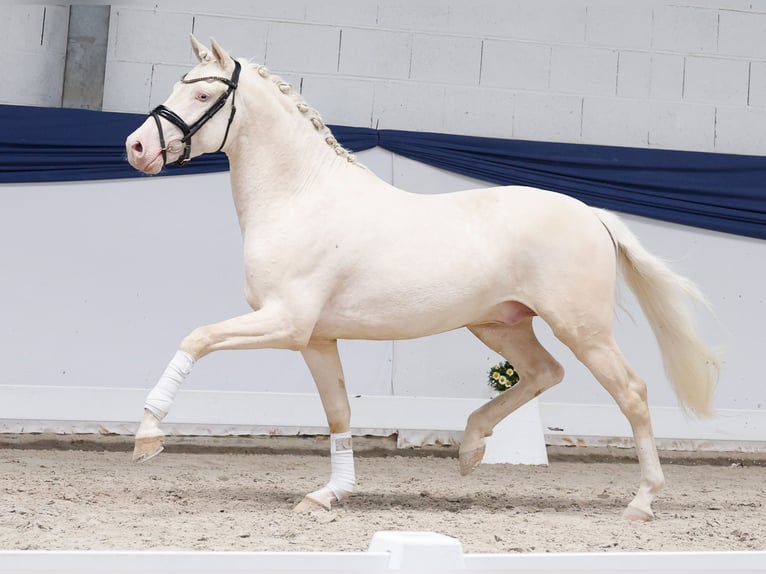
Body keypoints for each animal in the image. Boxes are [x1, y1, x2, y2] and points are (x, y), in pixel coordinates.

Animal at [125, 36, 719, 522]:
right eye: (178, 85)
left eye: (203, 95)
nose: (136, 148)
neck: (300, 197)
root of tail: (593, 214)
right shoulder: (316, 338)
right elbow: (338, 412)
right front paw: (328, 495)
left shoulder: (285, 323)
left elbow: (197, 338)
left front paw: (148, 437)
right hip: (500, 325)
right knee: (544, 372)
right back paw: (471, 448)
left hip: (582, 328)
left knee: (632, 392)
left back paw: (641, 502)